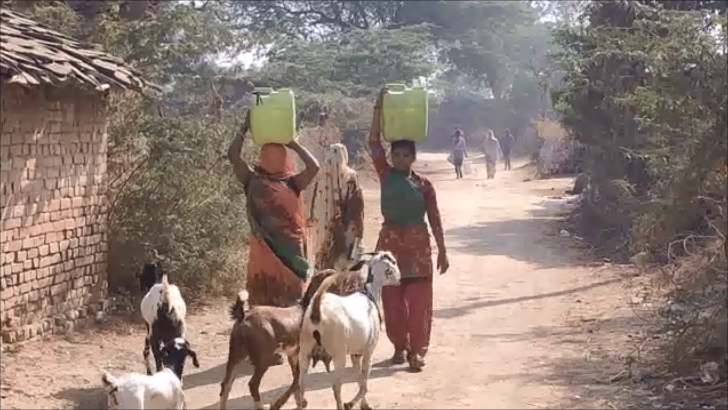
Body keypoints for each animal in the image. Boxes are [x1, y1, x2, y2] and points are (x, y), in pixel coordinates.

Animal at [216, 270, 364, 410]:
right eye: (339, 279)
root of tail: (244, 316)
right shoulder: (305, 356)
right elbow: (296, 381)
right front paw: (280, 404)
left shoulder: (293, 356)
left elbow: (296, 381)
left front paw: (300, 402)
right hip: (263, 360)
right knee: (253, 385)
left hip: (235, 358)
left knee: (225, 386)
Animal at [294, 250, 400, 410]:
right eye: (393, 261)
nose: (399, 279)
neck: (369, 295)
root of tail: (317, 311)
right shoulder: (368, 351)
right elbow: (364, 382)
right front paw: (353, 403)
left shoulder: (355, 354)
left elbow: (359, 379)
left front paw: (362, 403)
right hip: (339, 355)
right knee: (336, 386)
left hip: (305, 351)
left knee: (301, 386)